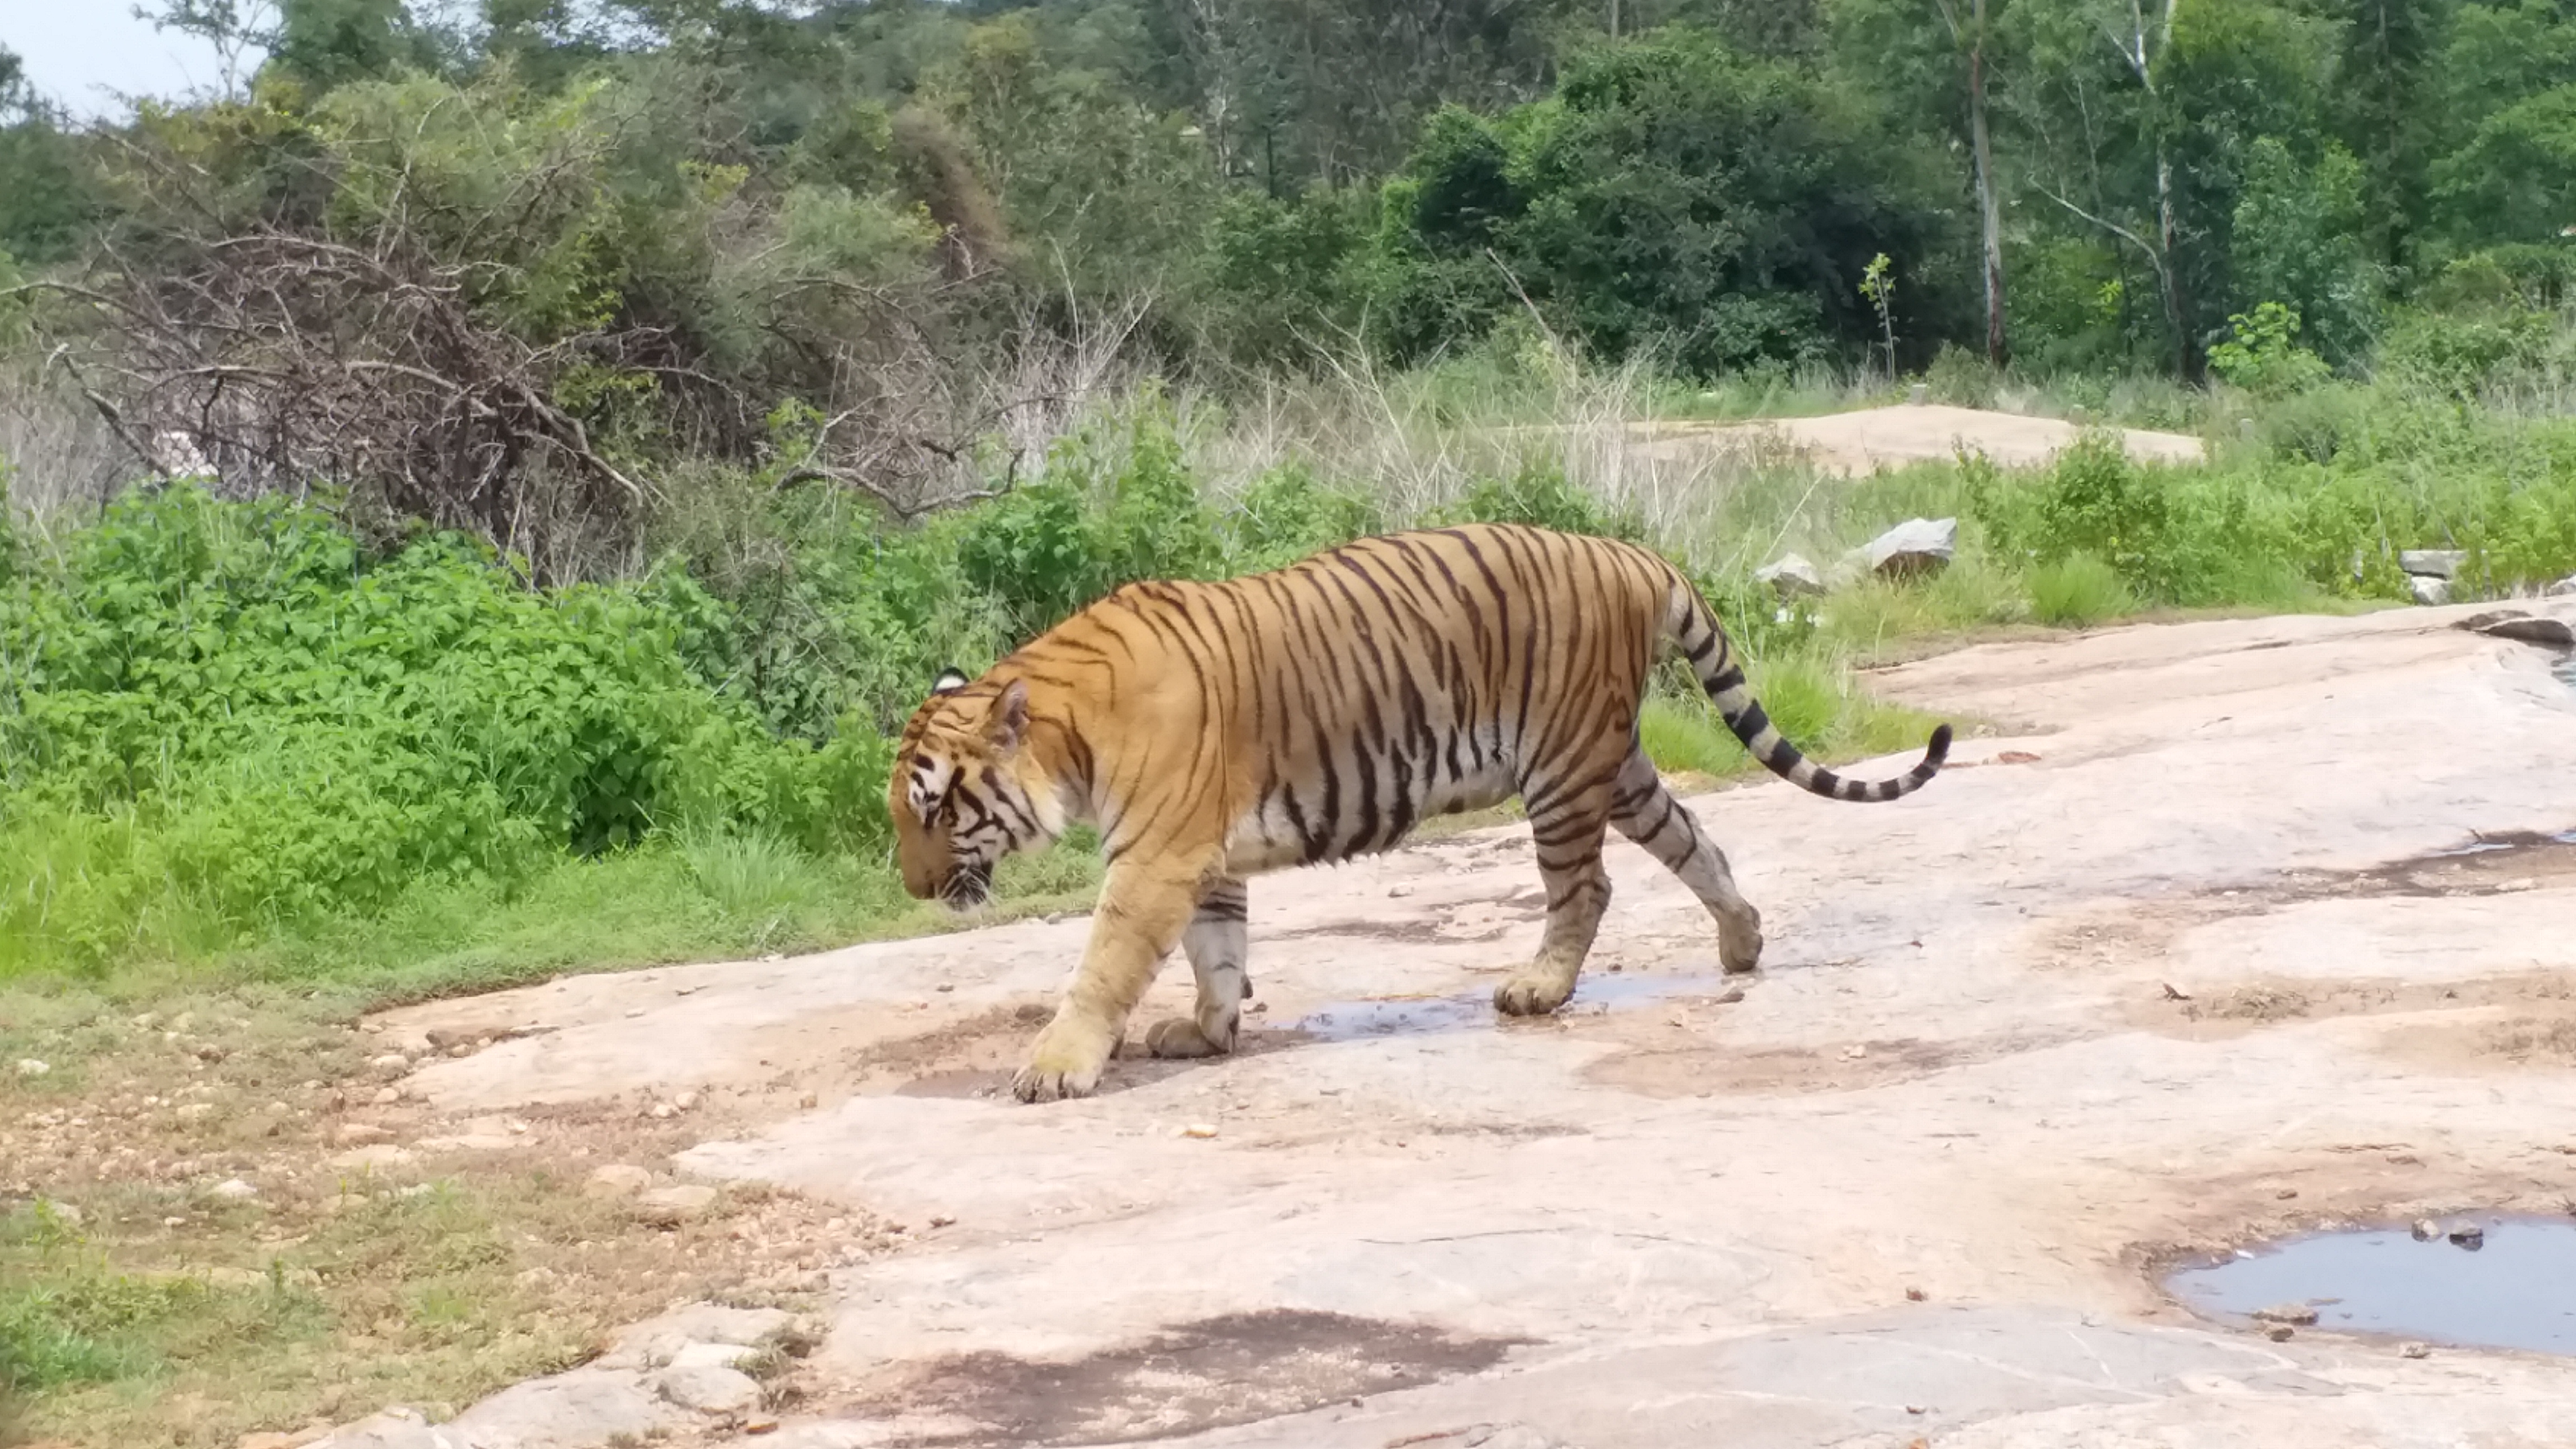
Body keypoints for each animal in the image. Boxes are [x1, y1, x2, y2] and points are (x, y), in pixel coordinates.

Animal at [896, 518, 1937, 1093]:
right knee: (1694, 841)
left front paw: (1054, 1067)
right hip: (1614, 764)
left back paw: (1539, 988)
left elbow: (1106, 966)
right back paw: (1742, 943)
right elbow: (1218, 952)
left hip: (1561, 768)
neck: (1067, 729)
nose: (910, 889)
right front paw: (1209, 1031)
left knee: (1585, 888)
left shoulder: (1156, 857)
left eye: (936, 808)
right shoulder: (1201, 857)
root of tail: (1633, 554)